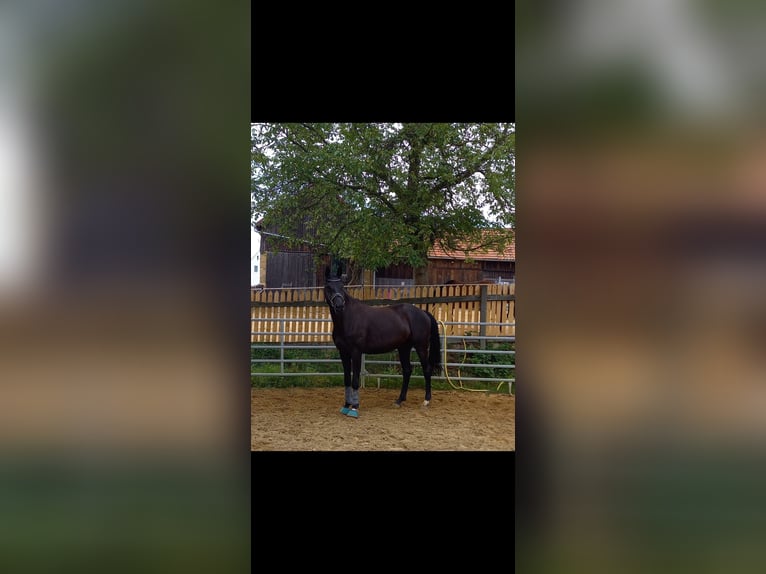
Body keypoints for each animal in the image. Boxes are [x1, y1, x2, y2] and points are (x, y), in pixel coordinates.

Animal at [324, 274, 442, 418]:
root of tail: (423, 313)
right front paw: (346, 406)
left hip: (421, 347)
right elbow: (346, 379)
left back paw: (426, 401)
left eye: (342, 287)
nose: (339, 306)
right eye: (328, 287)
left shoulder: (356, 352)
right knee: (407, 371)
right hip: (404, 348)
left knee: (427, 369)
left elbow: (355, 379)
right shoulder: (343, 352)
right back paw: (399, 400)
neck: (348, 318)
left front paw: (354, 408)